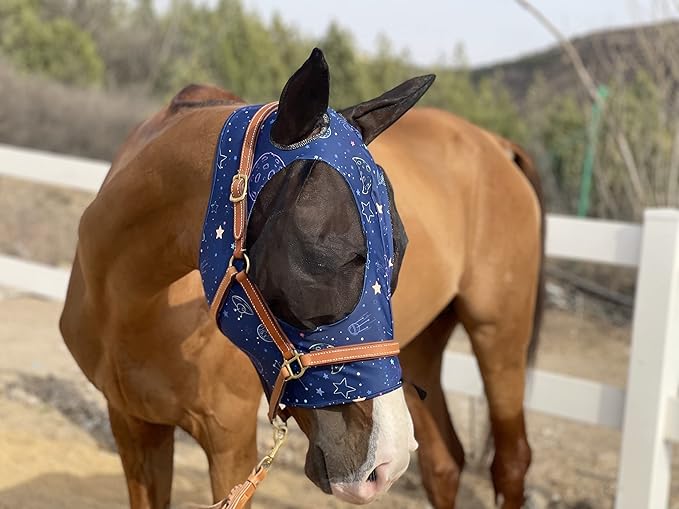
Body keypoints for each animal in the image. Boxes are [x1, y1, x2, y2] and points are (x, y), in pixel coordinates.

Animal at [61, 48, 544, 508]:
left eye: (400, 249)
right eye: (325, 252)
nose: (385, 461)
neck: (132, 302)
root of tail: (496, 144)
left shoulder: (228, 442)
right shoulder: (133, 424)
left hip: (498, 334)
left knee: (511, 462)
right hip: (421, 345)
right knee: (444, 465)